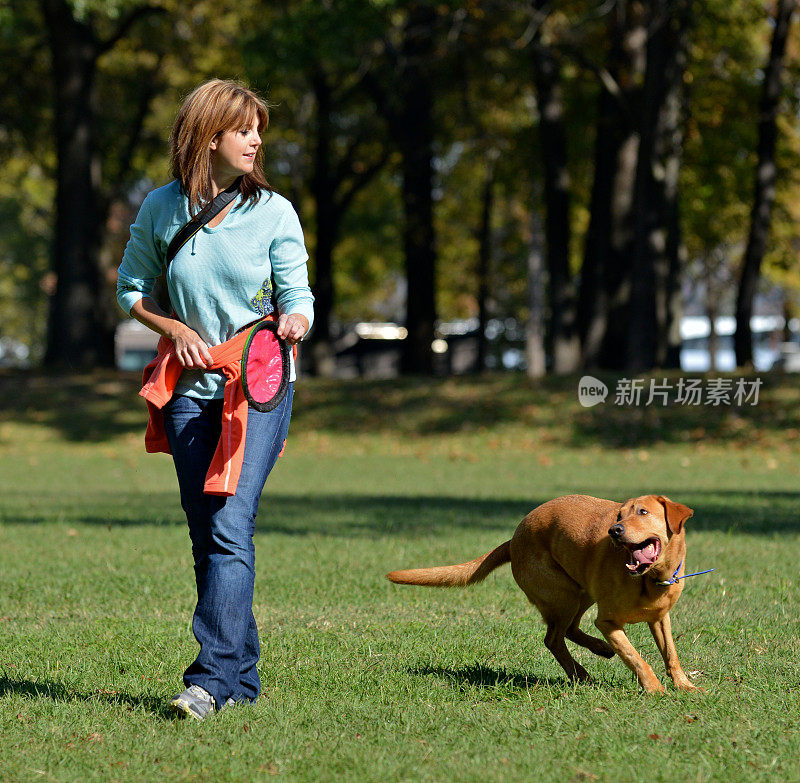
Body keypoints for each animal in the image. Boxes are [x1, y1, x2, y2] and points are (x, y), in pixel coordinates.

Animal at [390, 496, 700, 692]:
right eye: (619, 515)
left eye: (644, 512)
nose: (614, 530)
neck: (650, 579)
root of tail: (513, 540)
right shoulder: (607, 621)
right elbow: (634, 656)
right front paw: (654, 688)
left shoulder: (660, 618)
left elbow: (670, 654)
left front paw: (685, 686)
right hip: (563, 594)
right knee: (553, 638)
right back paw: (581, 673)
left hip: (580, 591)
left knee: (567, 630)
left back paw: (598, 651)